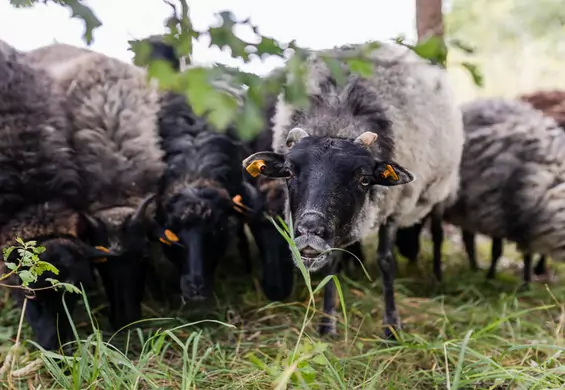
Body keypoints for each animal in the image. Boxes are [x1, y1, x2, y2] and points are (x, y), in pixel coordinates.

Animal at [241, 41, 462, 336]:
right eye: (287, 172)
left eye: (364, 179)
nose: (309, 230)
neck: (337, 122)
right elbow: (332, 265)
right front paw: (327, 322)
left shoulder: (395, 208)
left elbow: (386, 260)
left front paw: (392, 326)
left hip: (441, 190)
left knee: (437, 233)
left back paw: (437, 276)